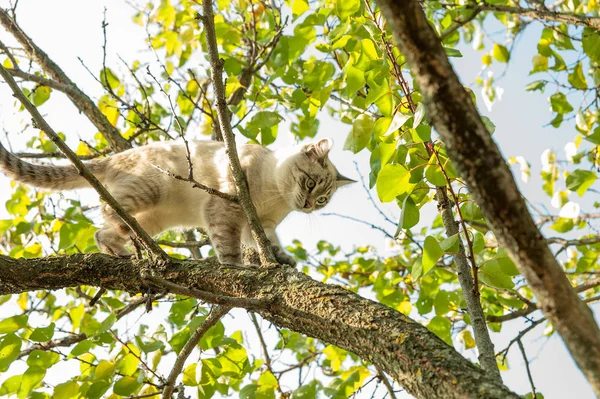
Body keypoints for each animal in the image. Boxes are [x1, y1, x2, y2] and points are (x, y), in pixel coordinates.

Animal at [0, 139, 354, 268]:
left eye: (323, 200)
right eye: (310, 184)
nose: (307, 205)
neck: (276, 197)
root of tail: (115, 156)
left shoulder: (260, 224)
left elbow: (266, 243)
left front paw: (281, 258)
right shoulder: (227, 207)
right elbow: (229, 247)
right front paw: (237, 269)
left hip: (153, 219)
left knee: (109, 230)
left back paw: (122, 252)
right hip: (146, 193)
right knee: (106, 215)